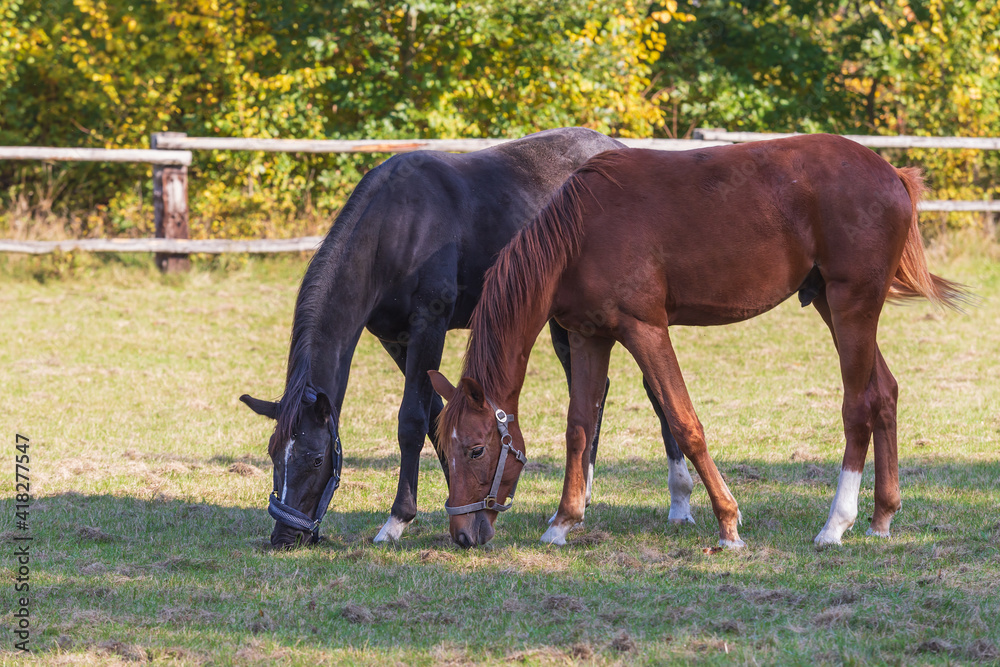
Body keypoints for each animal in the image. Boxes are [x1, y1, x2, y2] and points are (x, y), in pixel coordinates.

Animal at [239, 127, 698, 548]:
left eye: (316, 458)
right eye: (273, 454)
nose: (284, 535)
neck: (398, 226)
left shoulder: (429, 324)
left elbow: (412, 421)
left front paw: (397, 520)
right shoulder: (396, 338)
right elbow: (438, 417)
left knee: (654, 392)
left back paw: (679, 504)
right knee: (592, 393)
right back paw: (580, 497)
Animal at [429, 134, 965, 549]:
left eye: (475, 449)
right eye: (444, 449)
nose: (462, 535)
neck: (581, 232)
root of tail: (892, 173)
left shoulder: (644, 329)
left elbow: (684, 423)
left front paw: (728, 523)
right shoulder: (588, 338)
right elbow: (579, 428)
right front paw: (563, 522)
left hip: (852, 304)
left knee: (858, 407)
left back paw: (836, 525)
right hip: (832, 306)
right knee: (884, 393)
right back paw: (881, 517)